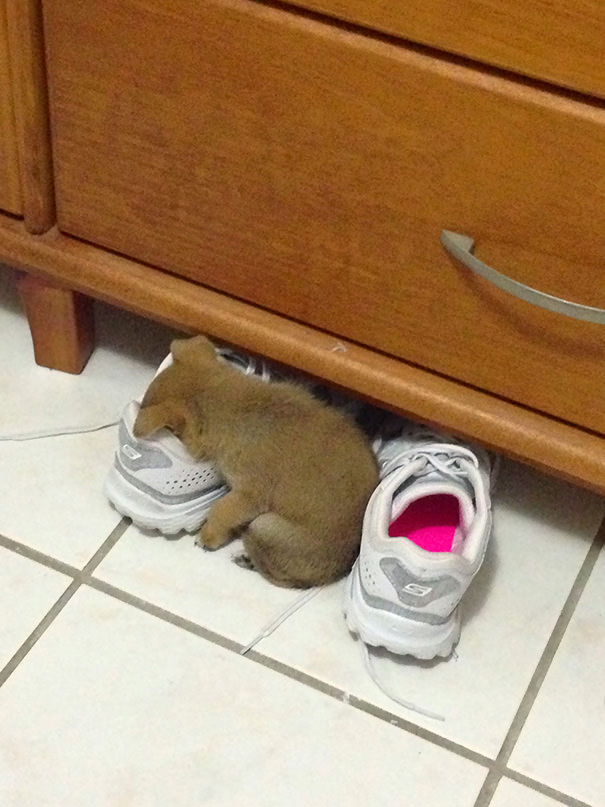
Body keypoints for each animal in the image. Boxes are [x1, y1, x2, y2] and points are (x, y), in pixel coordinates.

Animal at [134, 334, 378, 588]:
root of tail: (334, 574)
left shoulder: (247, 496)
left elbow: (221, 510)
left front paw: (209, 536)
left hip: (263, 524)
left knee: (279, 574)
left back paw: (247, 557)